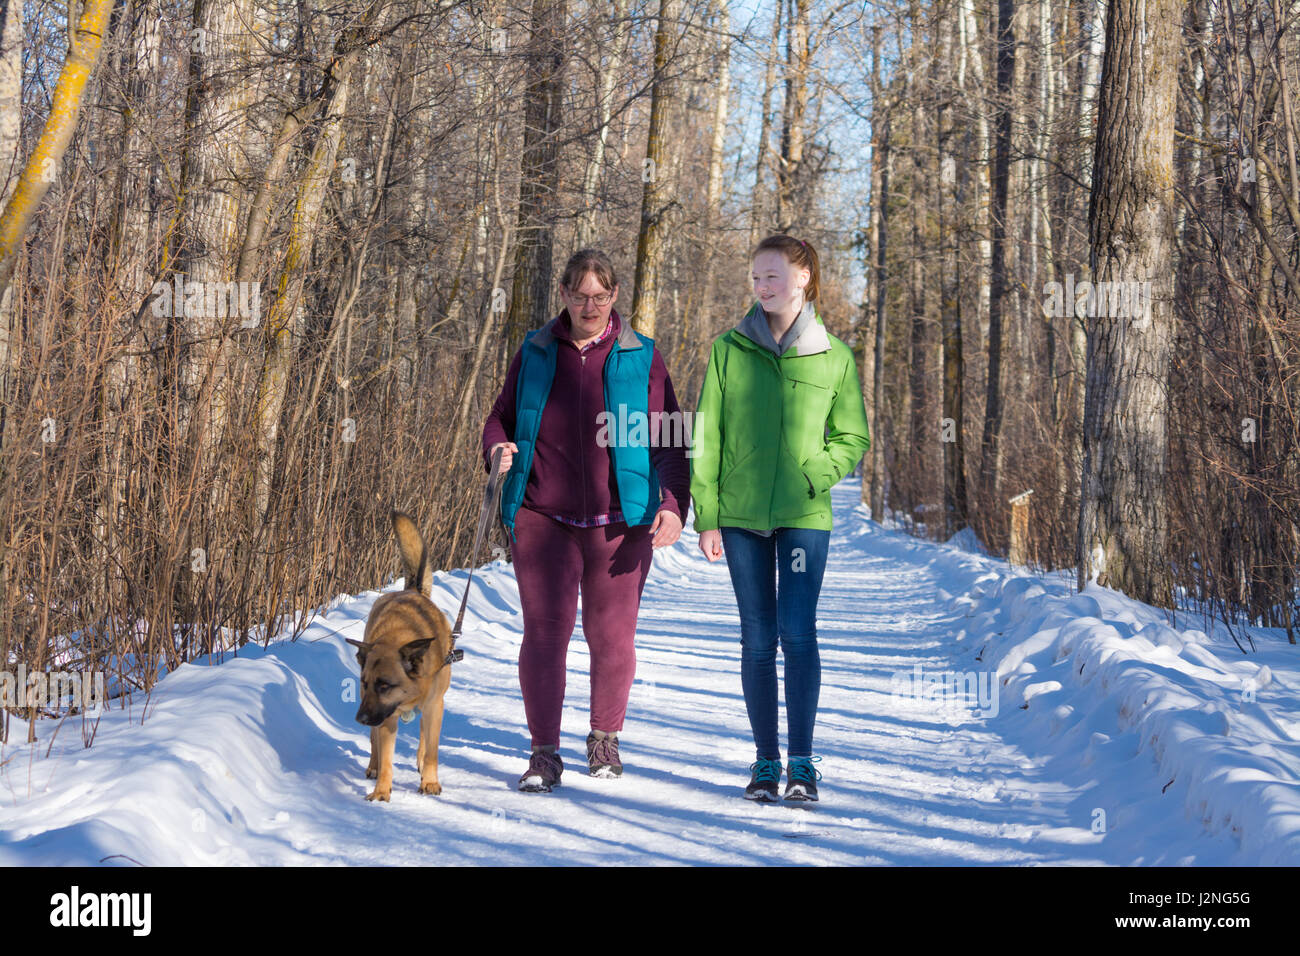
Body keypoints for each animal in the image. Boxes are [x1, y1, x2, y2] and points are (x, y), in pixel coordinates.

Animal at [348, 509, 454, 801]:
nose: (359, 719)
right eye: (366, 682)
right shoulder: (384, 714)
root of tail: (412, 590)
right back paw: (373, 766)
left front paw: (430, 781)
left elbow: (432, 750)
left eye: (385, 685)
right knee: (375, 741)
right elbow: (385, 757)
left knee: (424, 737)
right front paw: (381, 792)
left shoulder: (434, 705)